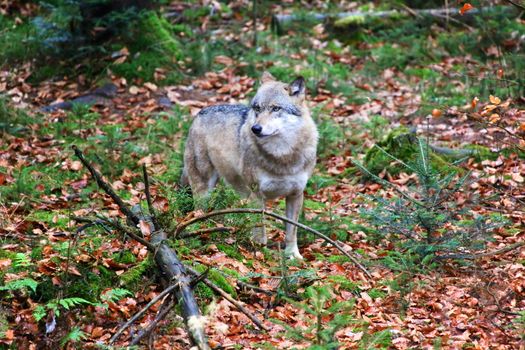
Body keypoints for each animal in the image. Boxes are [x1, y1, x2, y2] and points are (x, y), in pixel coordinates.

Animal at [182, 72, 318, 260]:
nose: (256, 128)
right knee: (198, 212)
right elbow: (261, 230)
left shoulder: (296, 194)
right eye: (258, 108)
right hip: (204, 187)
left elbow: (292, 231)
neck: (283, 157)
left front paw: (293, 255)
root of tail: (199, 112)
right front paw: (261, 254)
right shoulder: (256, 194)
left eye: (276, 109)